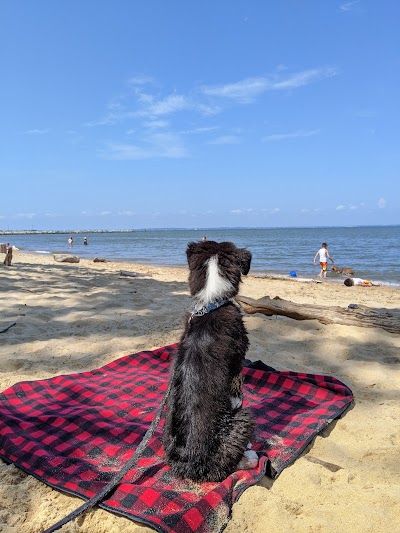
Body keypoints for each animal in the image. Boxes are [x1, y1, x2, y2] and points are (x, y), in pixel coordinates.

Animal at [163, 239, 260, 480]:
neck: (210, 303)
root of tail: (189, 466)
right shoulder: (238, 357)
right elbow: (237, 387)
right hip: (243, 420)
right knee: (224, 466)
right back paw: (249, 457)